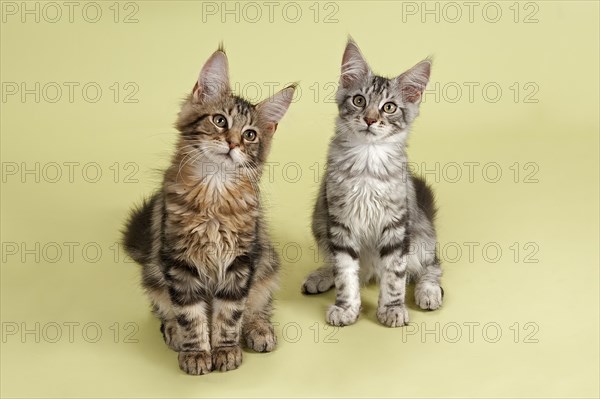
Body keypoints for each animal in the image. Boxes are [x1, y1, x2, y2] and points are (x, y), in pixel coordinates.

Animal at [123, 47, 296, 376]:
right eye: (219, 121)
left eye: (250, 135)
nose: (233, 143)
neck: (214, 190)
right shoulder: (179, 261)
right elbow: (191, 314)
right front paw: (197, 353)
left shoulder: (240, 260)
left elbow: (229, 313)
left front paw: (225, 351)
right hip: (153, 273)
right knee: (164, 309)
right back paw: (174, 333)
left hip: (266, 263)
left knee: (258, 306)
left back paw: (258, 330)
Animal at [302, 39, 442, 328]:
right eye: (359, 100)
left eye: (389, 107)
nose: (369, 119)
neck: (367, 158)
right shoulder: (340, 222)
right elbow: (345, 273)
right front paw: (346, 308)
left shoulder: (396, 225)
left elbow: (395, 275)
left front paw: (392, 309)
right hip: (320, 221)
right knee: (339, 265)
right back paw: (321, 276)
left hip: (423, 236)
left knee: (432, 266)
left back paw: (428, 292)